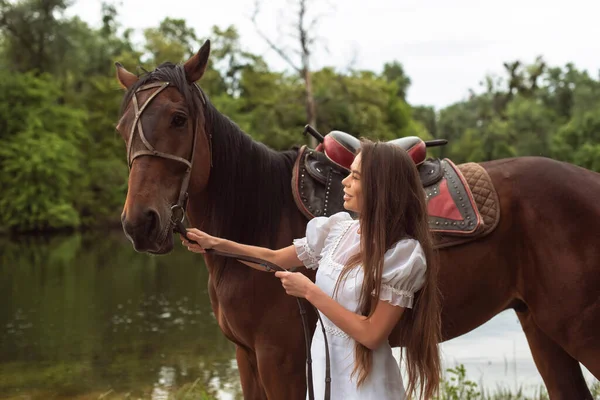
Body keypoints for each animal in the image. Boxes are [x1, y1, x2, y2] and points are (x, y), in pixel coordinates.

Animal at [115, 41, 596, 400]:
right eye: (122, 128)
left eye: (179, 119)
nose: (141, 223)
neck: (257, 220)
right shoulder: (247, 358)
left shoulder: (280, 358)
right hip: (541, 329)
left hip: (576, 328)